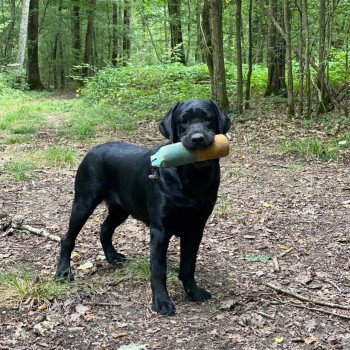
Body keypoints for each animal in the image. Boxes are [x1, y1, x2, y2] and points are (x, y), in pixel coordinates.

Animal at [55, 98, 230, 314]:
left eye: (208, 119)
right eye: (183, 121)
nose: (197, 139)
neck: (192, 180)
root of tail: (92, 150)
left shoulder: (196, 228)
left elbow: (188, 265)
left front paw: (194, 292)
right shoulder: (160, 231)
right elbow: (159, 270)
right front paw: (161, 302)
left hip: (120, 209)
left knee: (105, 228)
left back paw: (111, 256)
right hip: (84, 202)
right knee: (68, 238)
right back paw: (63, 272)